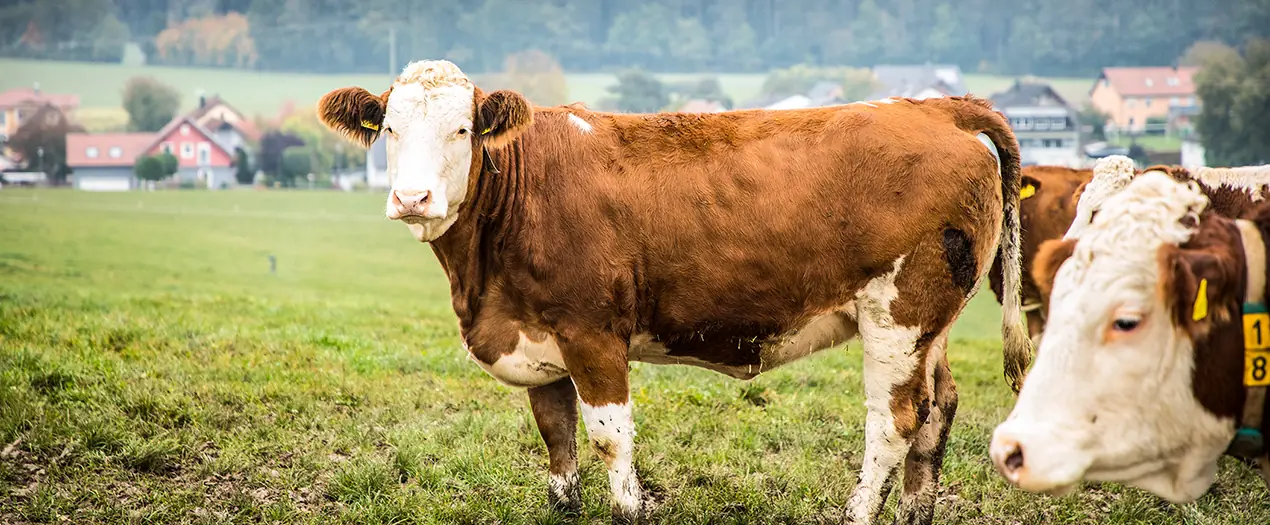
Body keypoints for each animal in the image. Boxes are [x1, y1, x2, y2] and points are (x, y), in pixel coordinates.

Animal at [315, 59, 1033, 524]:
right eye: (388, 129)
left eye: (462, 129)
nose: (413, 198)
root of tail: (934, 107)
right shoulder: (537, 333)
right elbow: (556, 434)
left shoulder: (591, 332)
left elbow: (608, 435)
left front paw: (629, 507)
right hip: (930, 325)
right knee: (938, 409)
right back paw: (915, 511)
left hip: (898, 311)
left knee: (894, 420)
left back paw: (859, 512)